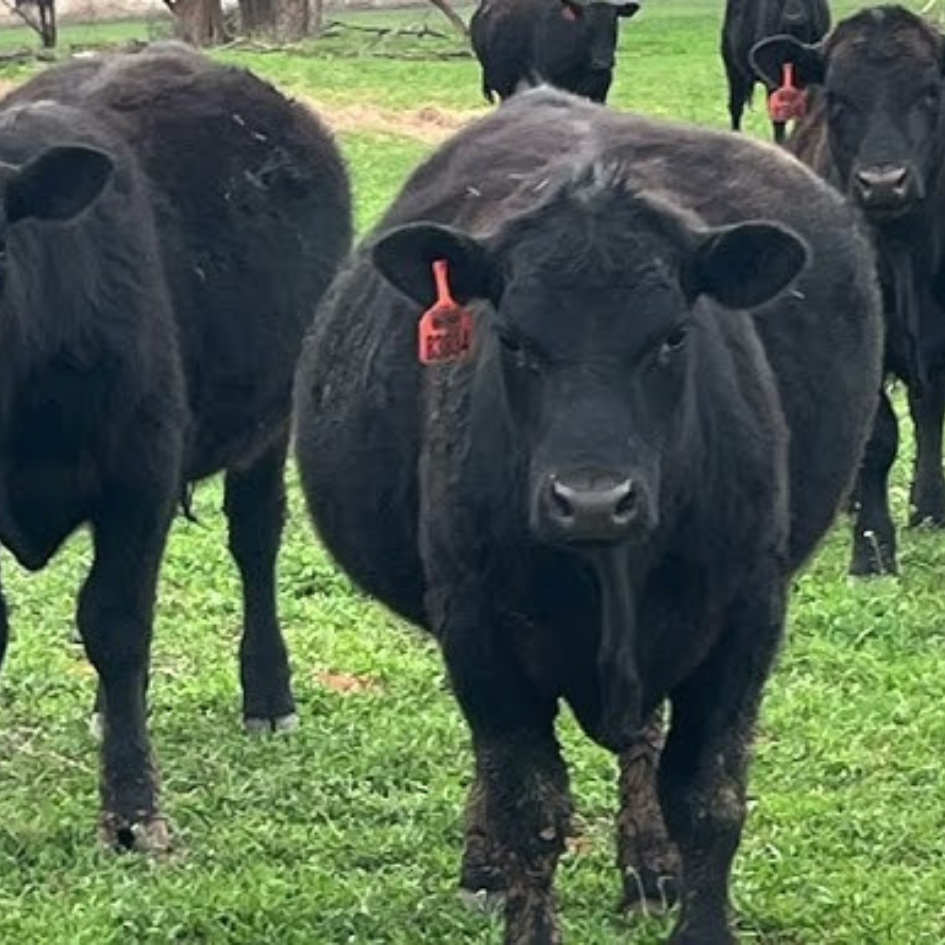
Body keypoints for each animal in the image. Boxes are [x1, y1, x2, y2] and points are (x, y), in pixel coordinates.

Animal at [0, 43, 352, 850]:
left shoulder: (141, 474)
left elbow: (115, 622)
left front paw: (132, 810)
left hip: (272, 417)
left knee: (255, 542)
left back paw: (268, 696)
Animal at [293, 88, 883, 943]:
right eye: (511, 338)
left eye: (672, 335)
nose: (593, 499)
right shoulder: (475, 626)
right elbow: (528, 807)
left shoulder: (746, 614)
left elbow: (708, 800)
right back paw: (485, 865)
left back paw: (648, 864)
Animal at [752, 5, 945, 577]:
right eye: (838, 96)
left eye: (931, 91)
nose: (883, 182)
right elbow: (878, 434)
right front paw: (872, 548)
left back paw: (929, 507)